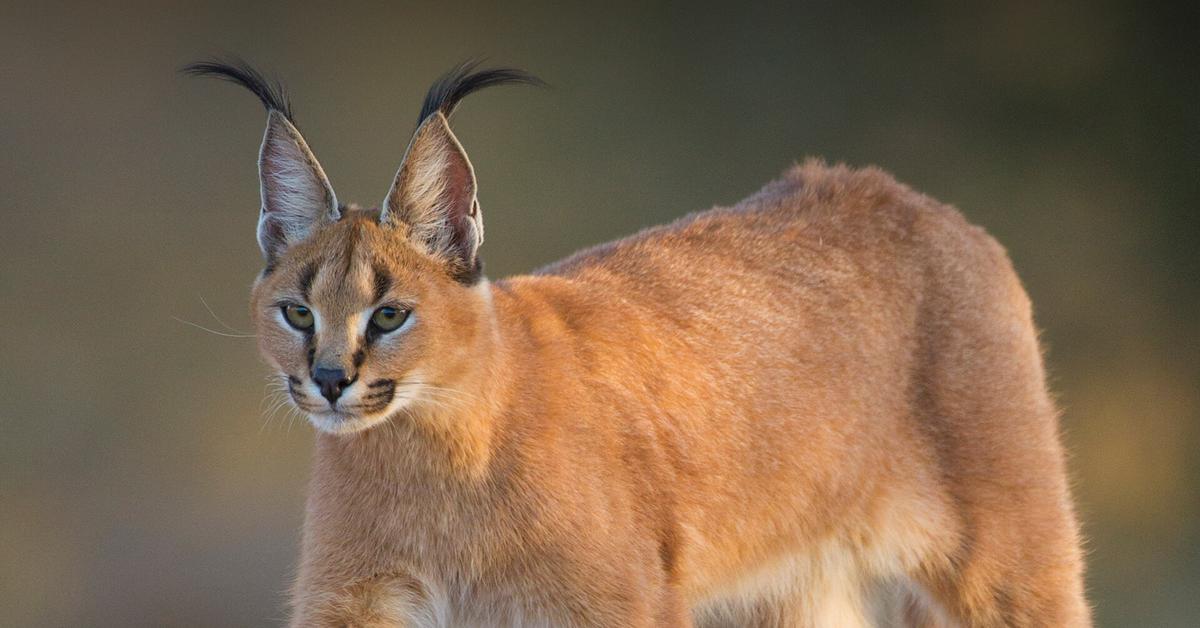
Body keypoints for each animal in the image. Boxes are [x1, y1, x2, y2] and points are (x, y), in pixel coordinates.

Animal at [184, 60, 1089, 628]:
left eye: (388, 316)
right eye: (297, 313)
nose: (331, 378)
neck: (431, 453)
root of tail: (897, 191)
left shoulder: (615, 604)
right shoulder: (357, 600)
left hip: (1007, 564)